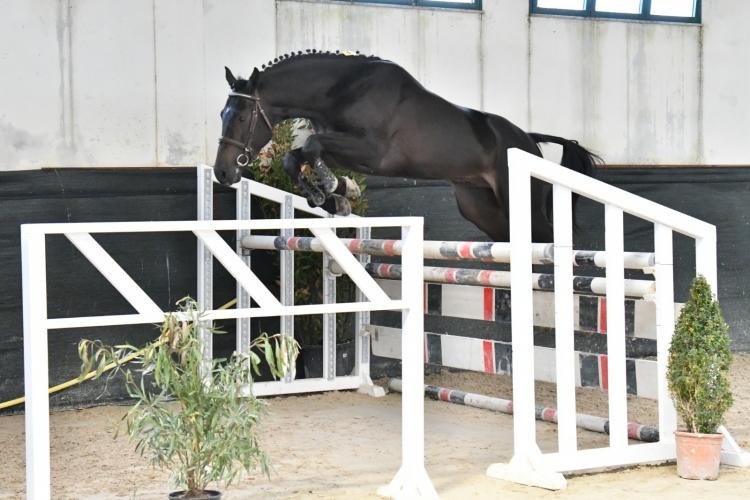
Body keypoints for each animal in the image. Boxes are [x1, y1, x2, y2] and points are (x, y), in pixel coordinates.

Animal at [213, 51, 600, 243]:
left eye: (242, 117)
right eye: (222, 114)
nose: (222, 172)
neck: (341, 89)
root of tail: (530, 142)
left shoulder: (371, 152)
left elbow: (310, 145)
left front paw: (334, 191)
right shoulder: (344, 148)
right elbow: (300, 157)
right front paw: (337, 194)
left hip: (521, 203)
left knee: (547, 240)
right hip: (480, 208)